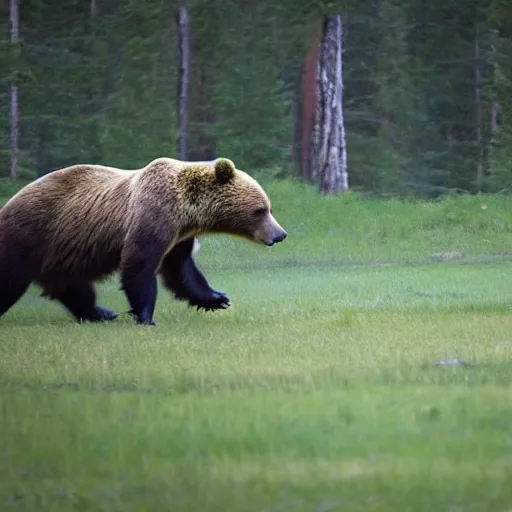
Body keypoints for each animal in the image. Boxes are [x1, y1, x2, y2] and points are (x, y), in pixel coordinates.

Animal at [0, 157, 288, 324]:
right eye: (260, 210)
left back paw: (101, 313)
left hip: (60, 251)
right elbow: (140, 264)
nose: (280, 234)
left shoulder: (179, 235)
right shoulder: (152, 213)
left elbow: (181, 269)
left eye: (269, 208)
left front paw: (216, 298)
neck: (185, 211)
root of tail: (8, 204)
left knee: (71, 285)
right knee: (11, 280)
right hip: (28, 236)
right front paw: (146, 316)